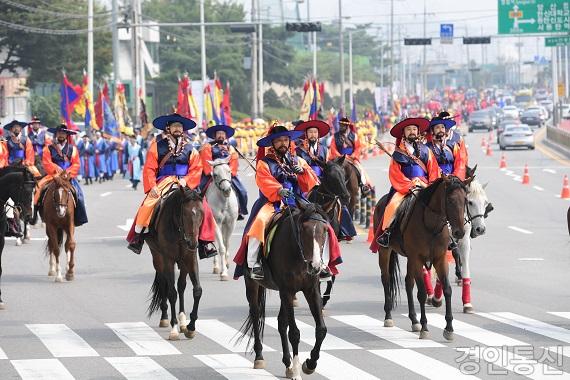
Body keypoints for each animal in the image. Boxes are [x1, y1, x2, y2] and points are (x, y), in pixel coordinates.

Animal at [146, 187, 204, 342]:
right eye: (185, 213)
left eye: (202, 214)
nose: (193, 243)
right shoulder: (168, 259)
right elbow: (172, 293)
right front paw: (174, 329)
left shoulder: (190, 257)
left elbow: (197, 290)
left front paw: (190, 327)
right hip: (157, 257)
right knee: (163, 282)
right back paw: (165, 317)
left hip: (183, 262)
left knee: (181, 285)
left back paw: (183, 321)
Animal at [239, 202, 328, 378]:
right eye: (304, 230)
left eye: (325, 230)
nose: (315, 266)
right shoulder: (287, 291)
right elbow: (294, 333)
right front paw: (297, 372)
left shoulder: (311, 290)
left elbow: (321, 329)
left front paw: (310, 364)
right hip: (252, 284)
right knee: (255, 315)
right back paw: (259, 357)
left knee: (281, 323)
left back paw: (287, 363)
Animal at [370, 176, 468, 342]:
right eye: (450, 200)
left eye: (466, 200)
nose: (459, 232)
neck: (431, 225)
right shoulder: (417, 259)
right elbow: (422, 293)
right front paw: (425, 328)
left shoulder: (440, 259)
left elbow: (447, 289)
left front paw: (449, 328)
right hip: (385, 251)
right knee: (386, 280)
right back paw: (389, 316)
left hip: (410, 258)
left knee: (408, 283)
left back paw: (414, 320)